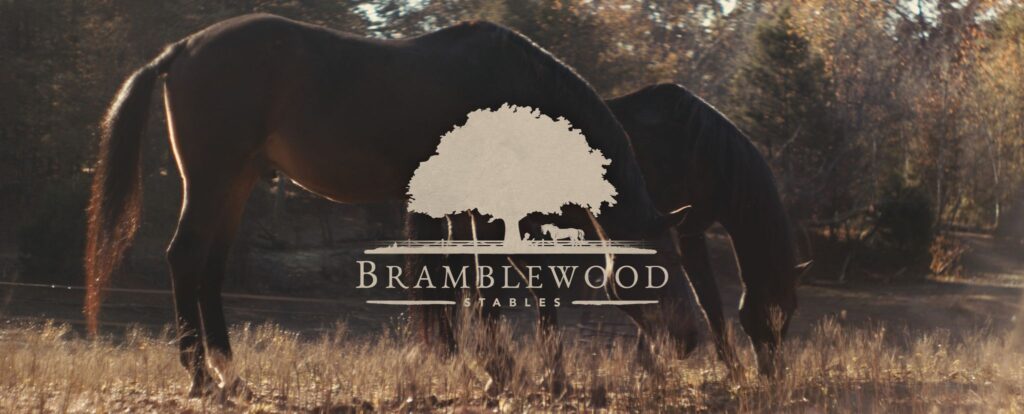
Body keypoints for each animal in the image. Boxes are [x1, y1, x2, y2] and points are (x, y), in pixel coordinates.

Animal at [86, 15, 696, 397]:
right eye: (662, 263)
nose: (692, 340)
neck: (511, 86)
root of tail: (180, 51)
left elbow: (472, 283)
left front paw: (496, 369)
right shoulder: (485, 209)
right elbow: (495, 284)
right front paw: (507, 372)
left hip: (232, 184)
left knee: (208, 270)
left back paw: (230, 375)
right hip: (214, 180)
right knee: (185, 258)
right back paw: (203, 378)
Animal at [602, 83, 811, 375]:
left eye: (791, 310)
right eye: (771, 308)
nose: (773, 372)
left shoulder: (687, 228)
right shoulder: (684, 229)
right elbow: (707, 297)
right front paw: (733, 369)